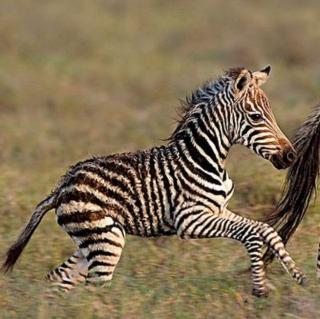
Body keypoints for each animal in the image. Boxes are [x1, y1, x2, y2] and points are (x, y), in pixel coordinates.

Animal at [1, 65, 304, 298]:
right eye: (256, 117)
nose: (291, 155)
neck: (205, 158)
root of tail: (62, 186)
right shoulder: (190, 221)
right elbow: (250, 233)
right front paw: (260, 287)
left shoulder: (218, 210)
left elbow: (265, 229)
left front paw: (297, 273)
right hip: (107, 239)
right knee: (93, 288)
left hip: (95, 239)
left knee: (57, 279)